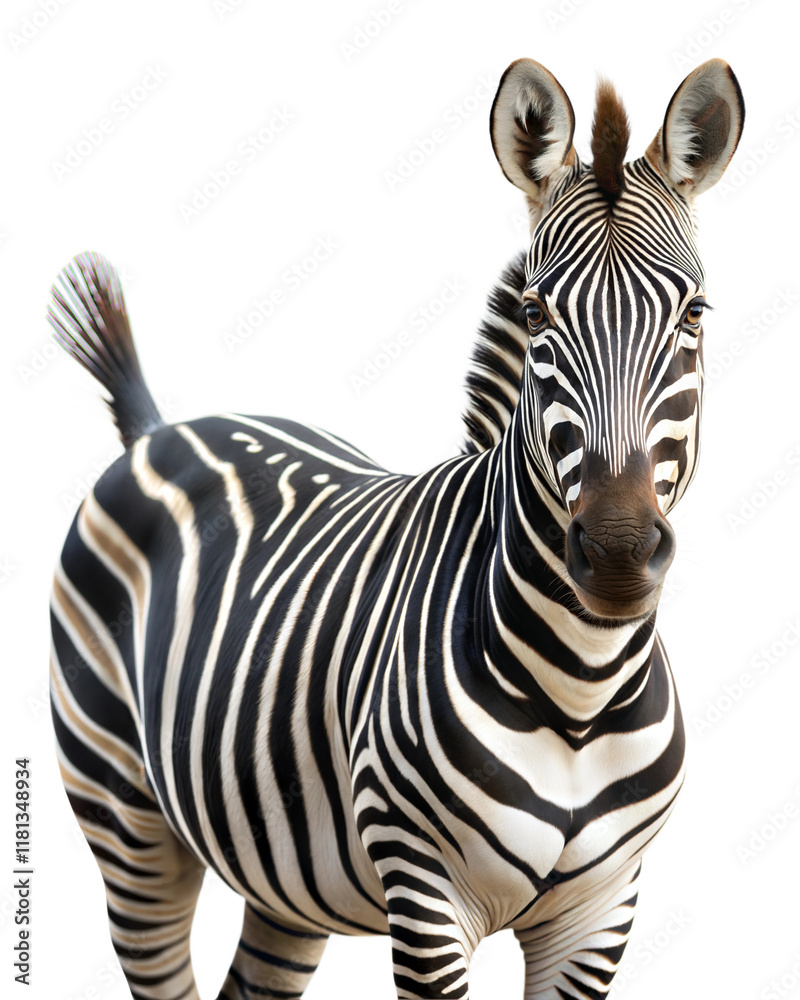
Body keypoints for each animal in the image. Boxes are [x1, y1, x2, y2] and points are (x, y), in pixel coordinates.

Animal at [49, 57, 743, 1000]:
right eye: (536, 315)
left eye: (696, 314)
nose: (617, 553)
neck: (581, 690)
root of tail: (156, 428)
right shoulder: (424, 893)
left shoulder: (601, 911)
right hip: (125, 817)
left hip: (284, 874)